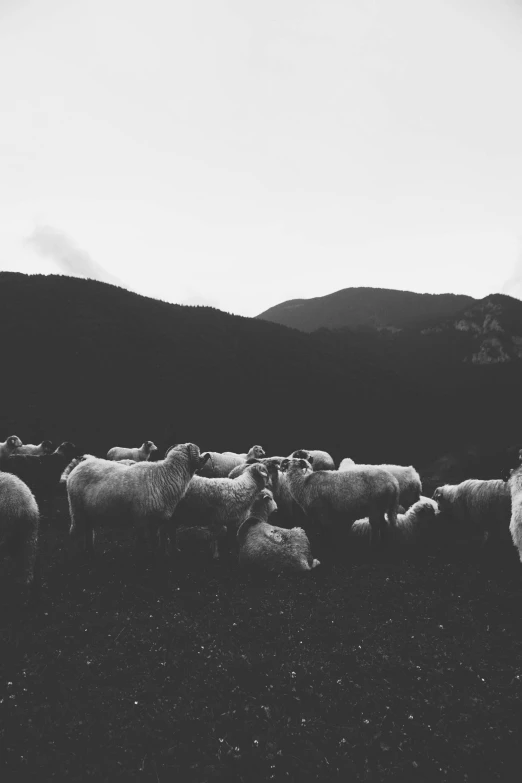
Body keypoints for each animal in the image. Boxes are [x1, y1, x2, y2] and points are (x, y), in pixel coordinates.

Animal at [67, 440, 209, 556]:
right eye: (199, 452)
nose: (207, 455)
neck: (165, 476)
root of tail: (78, 466)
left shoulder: (156, 522)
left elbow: (155, 542)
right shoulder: (142, 519)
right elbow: (142, 543)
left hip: (88, 512)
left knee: (88, 531)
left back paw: (90, 551)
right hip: (76, 509)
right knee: (74, 533)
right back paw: (74, 553)